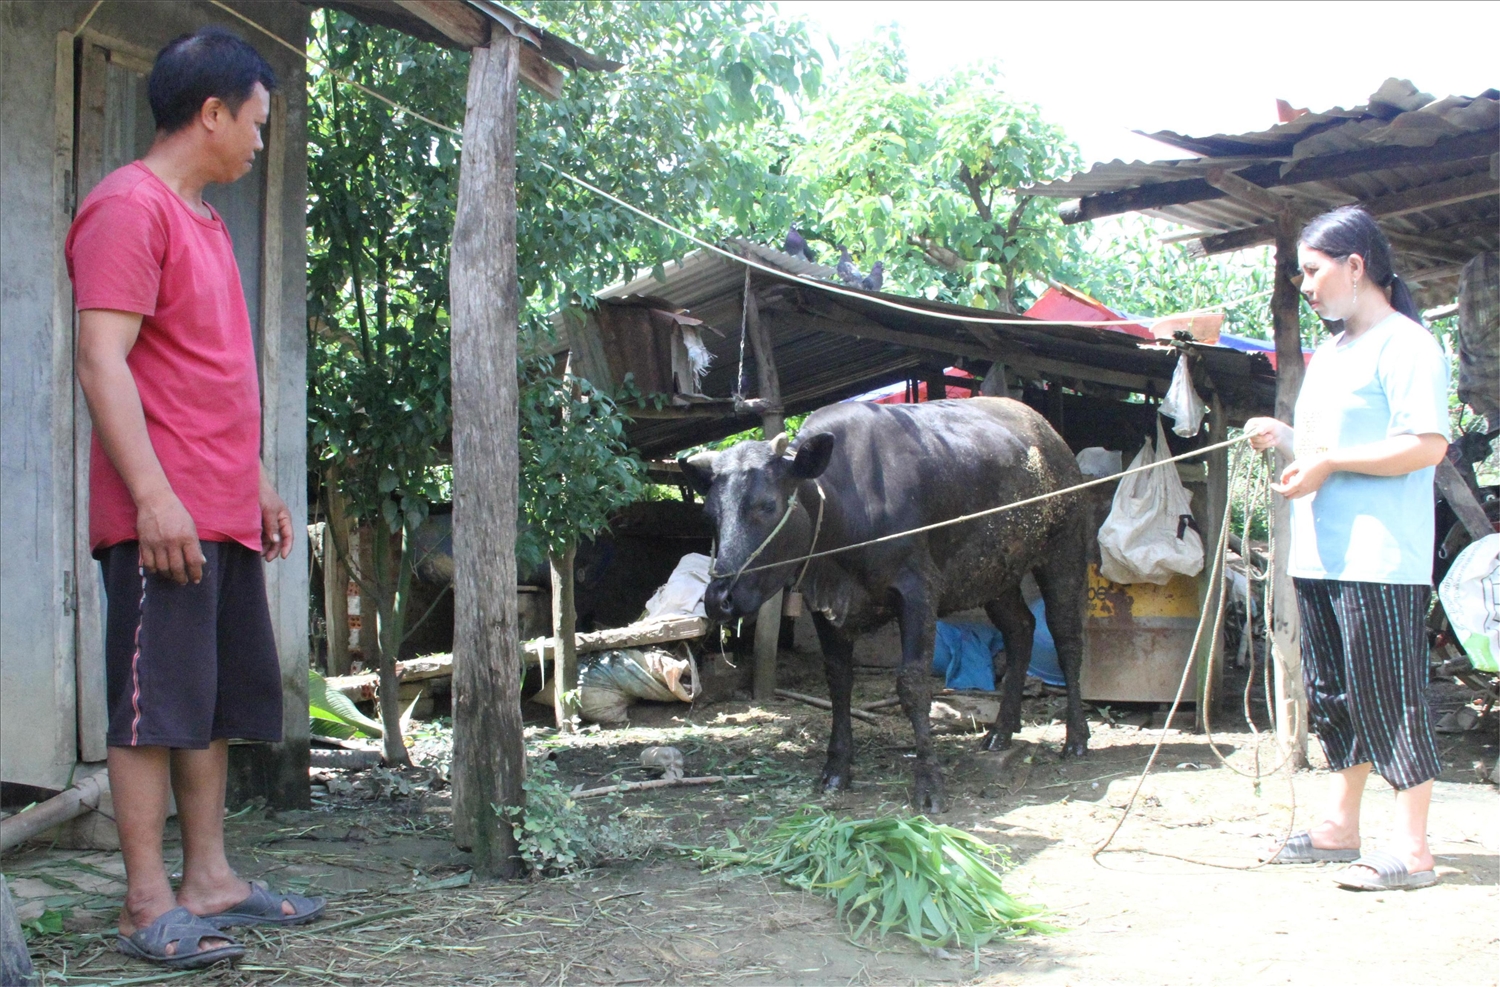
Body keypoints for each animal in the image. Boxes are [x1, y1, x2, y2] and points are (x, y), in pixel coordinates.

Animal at [681, 396, 1092, 810]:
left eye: (766, 505)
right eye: (709, 514)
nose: (719, 599)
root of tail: (1048, 432)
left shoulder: (919, 591)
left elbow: (912, 684)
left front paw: (929, 783)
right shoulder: (824, 606)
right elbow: (838, 681)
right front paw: (837, 768)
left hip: (1064, 549)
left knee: (1067, 637)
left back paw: (1076, 737)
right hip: (995, 572)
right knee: (1020, 629)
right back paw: (1002, 731)